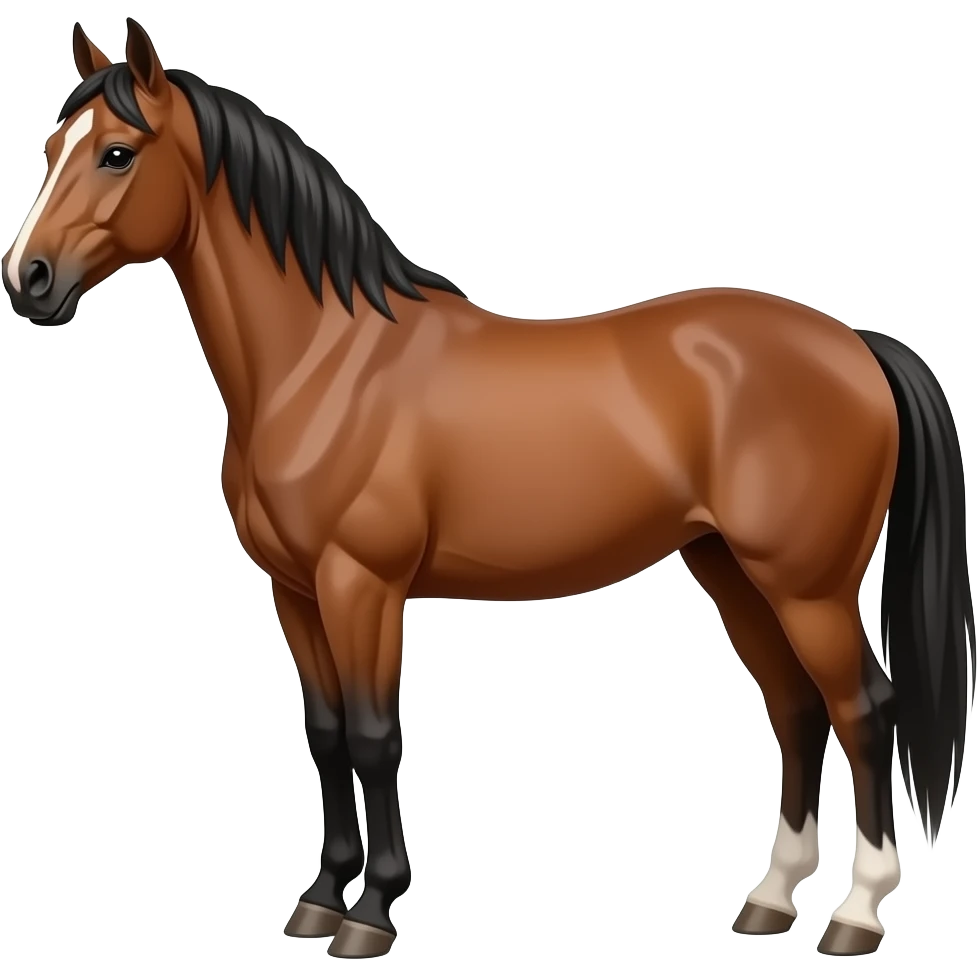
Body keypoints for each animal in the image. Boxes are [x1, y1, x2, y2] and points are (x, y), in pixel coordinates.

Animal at [3, 19, 973, 960]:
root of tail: (856, 345)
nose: (29, 280)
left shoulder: (362, 584)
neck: (325, 360)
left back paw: (856, 914)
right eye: (51, 145)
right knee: (796, 708)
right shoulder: (295, 589)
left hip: (807, 586)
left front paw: (371, 911)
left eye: (117, 152)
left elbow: (371, 735)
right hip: (730, 570)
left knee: (863, 711)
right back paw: (770, 900)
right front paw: (319, 898)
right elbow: (323, 732)